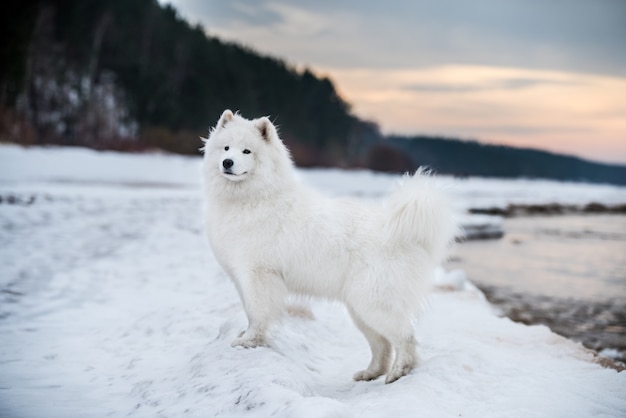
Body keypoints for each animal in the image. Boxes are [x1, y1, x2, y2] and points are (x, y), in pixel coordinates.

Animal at [202, 109, 456, 384]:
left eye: (247, 151)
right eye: (226, 147)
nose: (227, 162)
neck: (253, 198)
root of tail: (405, 234)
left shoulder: (258, 275)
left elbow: (258, 314)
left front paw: (249, 341)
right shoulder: (243, 277)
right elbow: (250, 312)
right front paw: (245, 336)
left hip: (373, 303)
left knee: (405, 337)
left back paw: (399, 372)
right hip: (359, 308)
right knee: (382, 345)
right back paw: (370, 373)